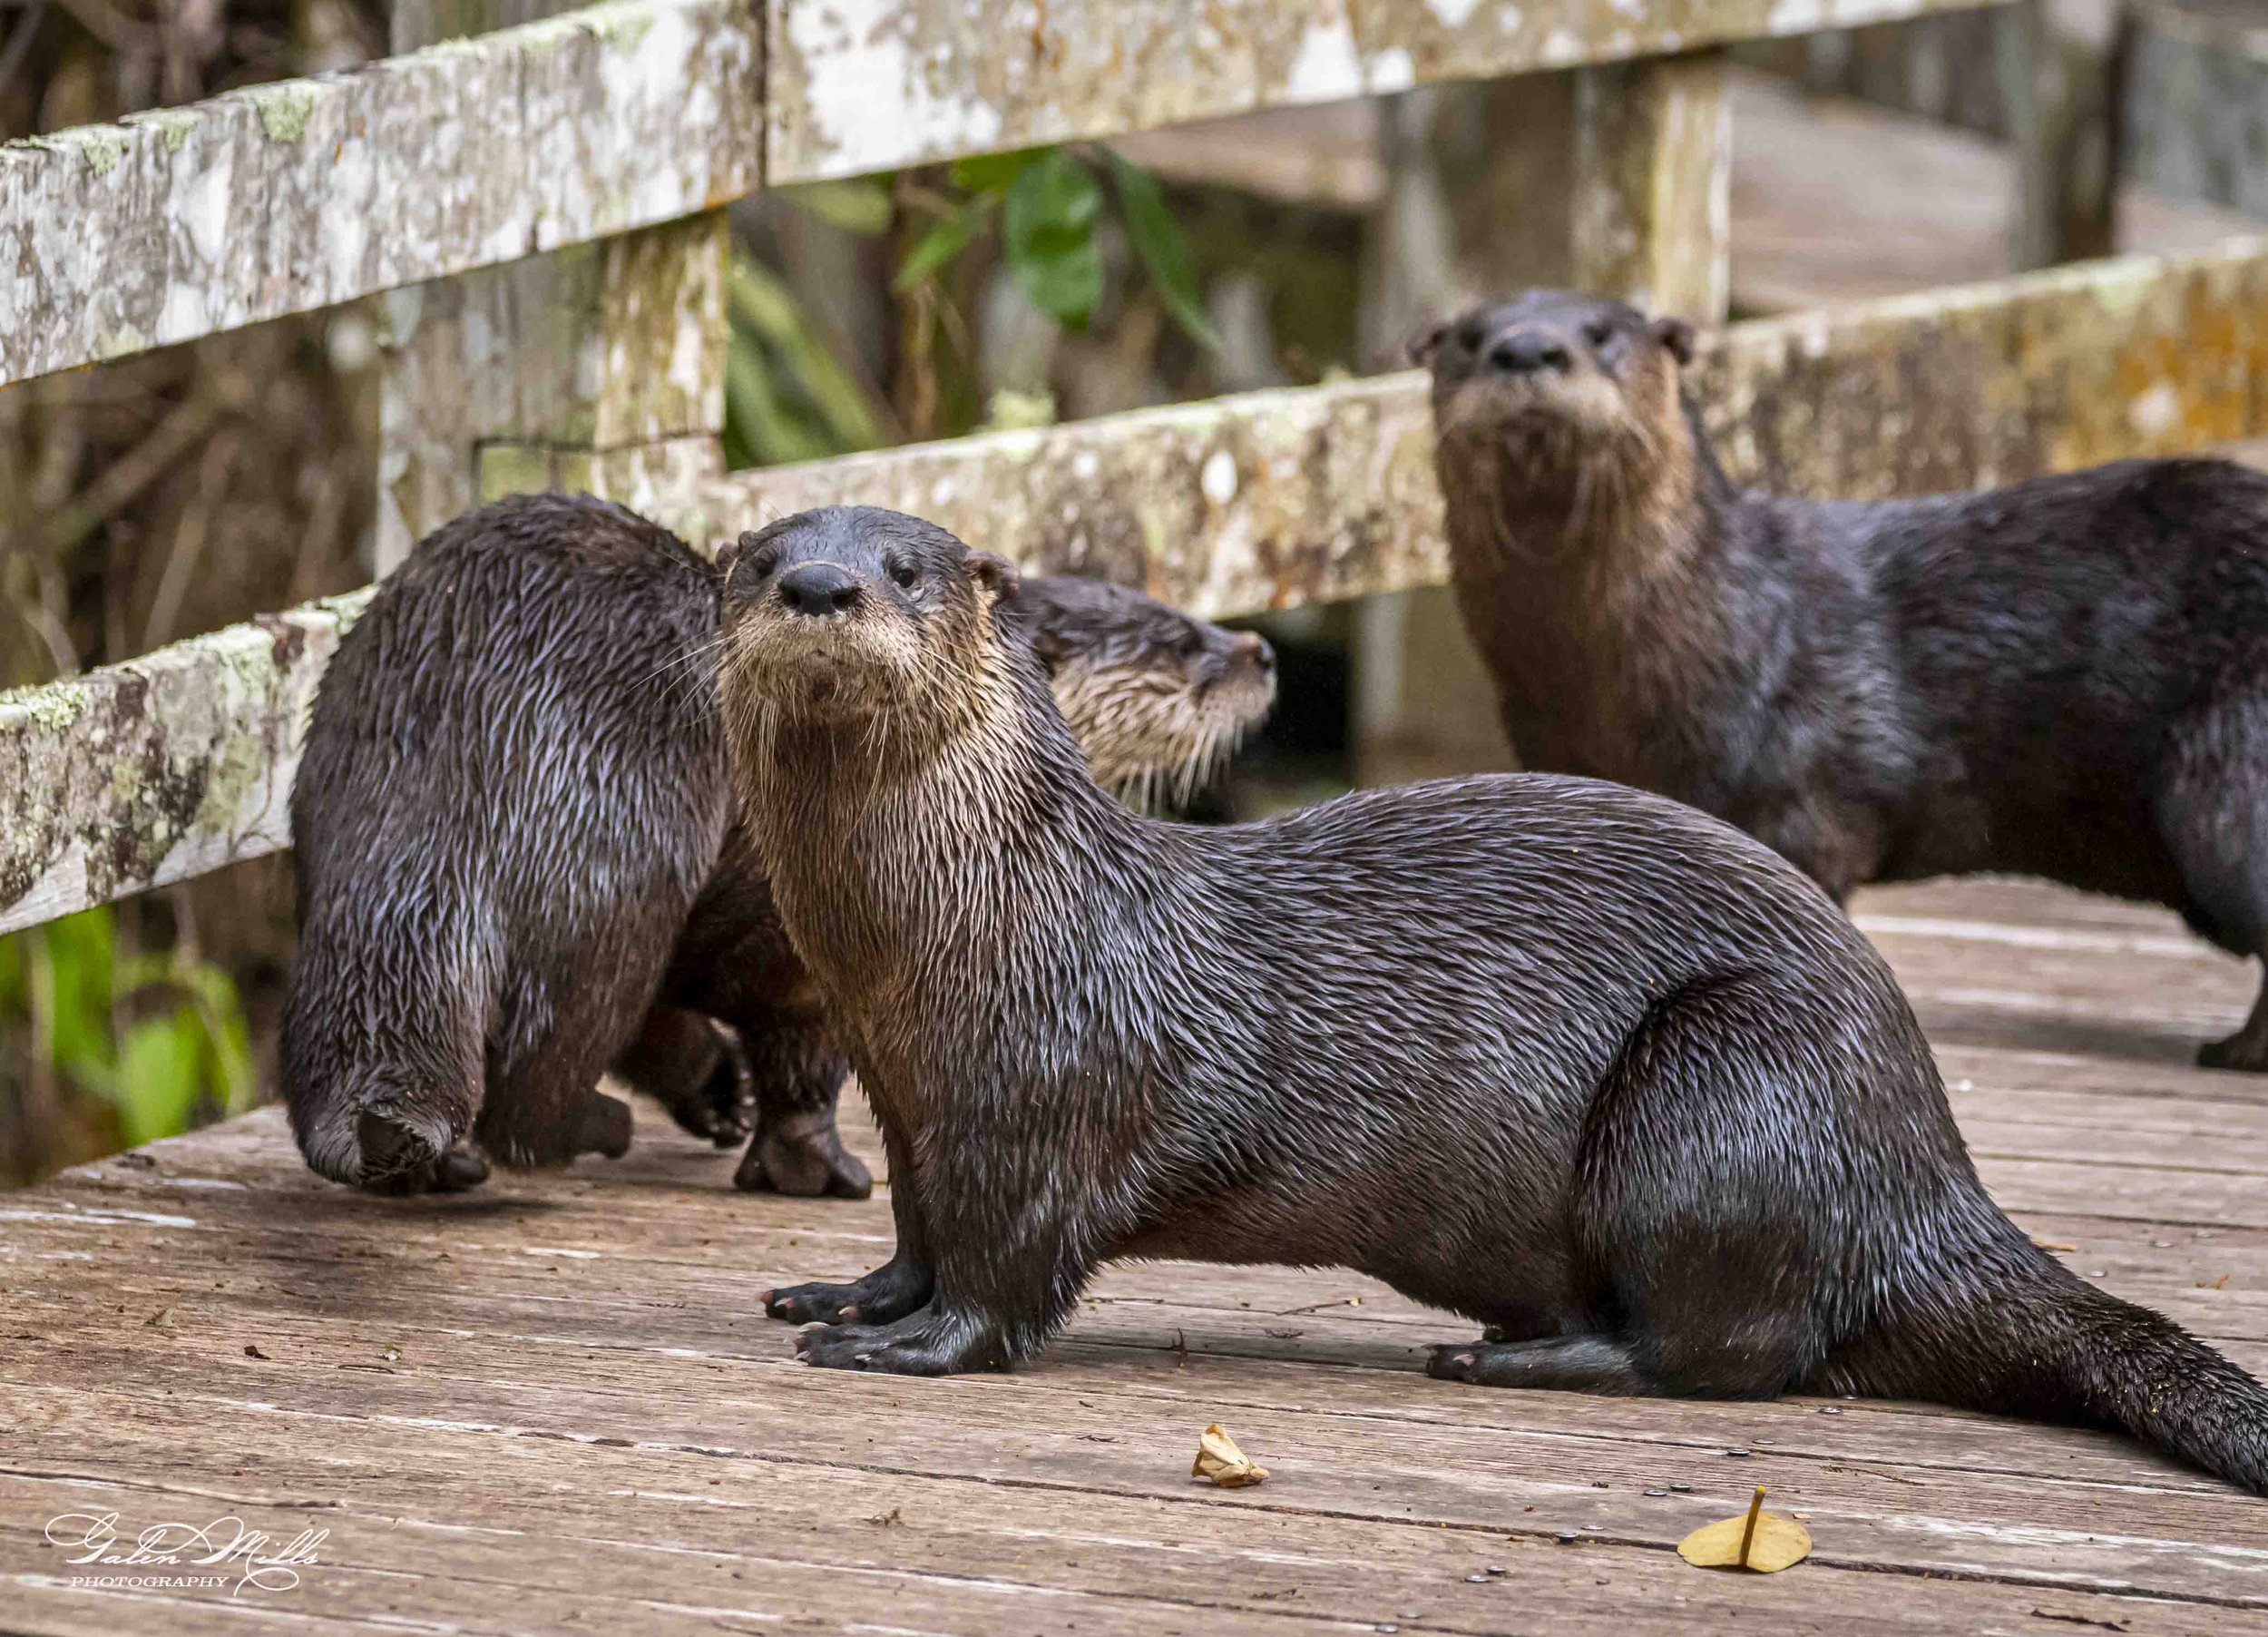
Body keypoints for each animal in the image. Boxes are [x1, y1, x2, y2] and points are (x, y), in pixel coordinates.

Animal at [282, 491, 1273, 1196]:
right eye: (1180, 641)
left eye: (1187, 610)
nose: (1260, 651)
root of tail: (478, 709)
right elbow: (802, 1046)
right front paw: (811, 1166)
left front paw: (716, 1091)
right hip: (618, 846)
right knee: (549, 1052)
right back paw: (579, 1132)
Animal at [717, 504, 2268, 1493]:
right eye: (760, 559)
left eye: (906, 568)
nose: (822, 590)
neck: (972, 928)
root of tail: (1929, 1167)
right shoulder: (912, 1100)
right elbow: (917, 1233)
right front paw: (846, 1296)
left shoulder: (1044, 1094)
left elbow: (1004, 1277)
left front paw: (901, 1350)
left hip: (1736, 1075)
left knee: (1738, 1350)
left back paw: (1512, 1357)